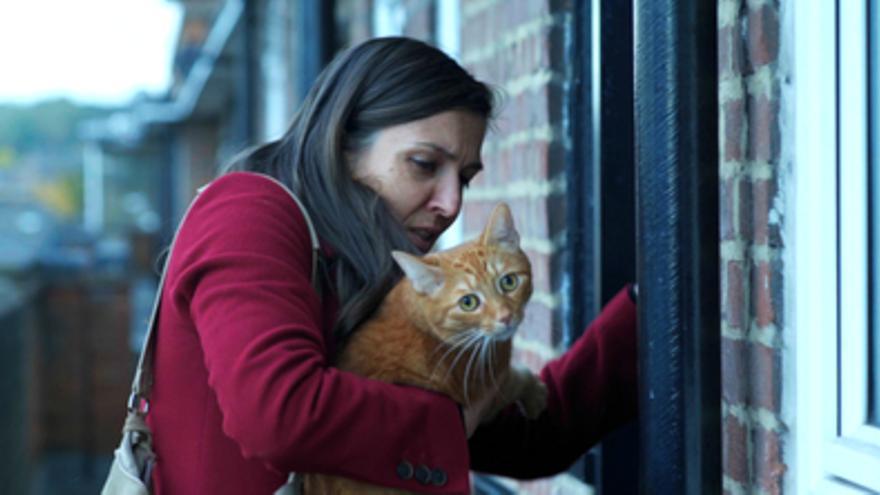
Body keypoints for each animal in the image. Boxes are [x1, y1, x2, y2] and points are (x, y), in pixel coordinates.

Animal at [302, 203, 552, 494]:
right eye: (468, 302)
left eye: (509, 282)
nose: (506, 317)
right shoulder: (484, 389)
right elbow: (514, 378)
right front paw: (535, 393)